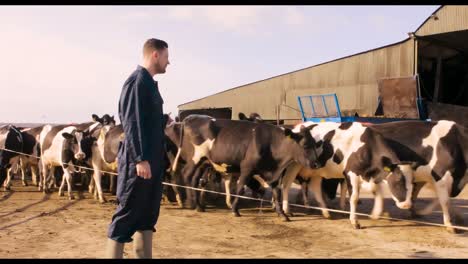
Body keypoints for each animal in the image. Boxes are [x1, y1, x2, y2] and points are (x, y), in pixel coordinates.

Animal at [170, 114, 320, 222]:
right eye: (305, 145)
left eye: (315, 143)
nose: (316, 164)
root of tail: (191, 117)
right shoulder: (247, 168)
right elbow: (240, 188)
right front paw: (235, 210)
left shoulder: (274, 173)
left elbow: (277, 193)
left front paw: (282, 214)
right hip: (195, 158)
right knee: (186, 175)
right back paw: (192, 203)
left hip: (204, 162)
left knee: (195, 180)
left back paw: (199, 206)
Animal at [280, 121, 412, 229]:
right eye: (398, 181)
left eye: (413, 183)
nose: (407, 204)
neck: (367, 147)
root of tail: (299, 126)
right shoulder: (351, 173)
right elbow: (354, 198)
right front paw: (354, 221)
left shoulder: (373, 175)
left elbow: (378, 193)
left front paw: (375, 214)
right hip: (293, 166)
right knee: (286, 184)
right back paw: (287, 210)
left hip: (317, 170)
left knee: (316, 187)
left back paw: (325, 212)